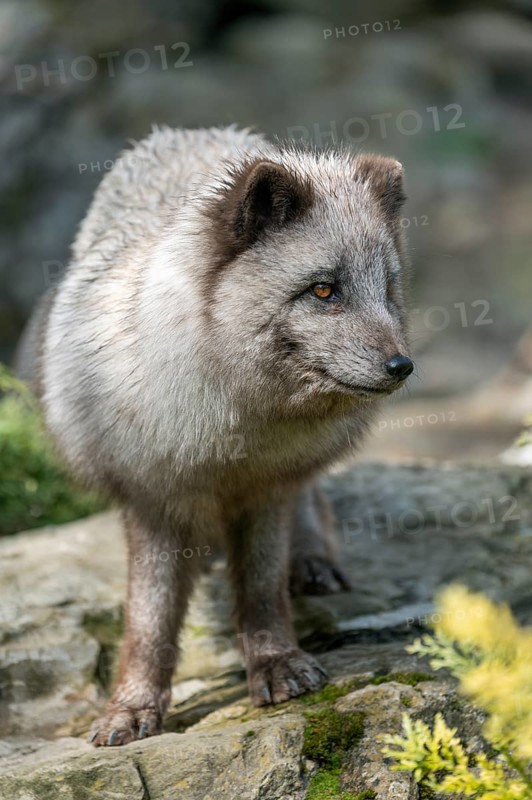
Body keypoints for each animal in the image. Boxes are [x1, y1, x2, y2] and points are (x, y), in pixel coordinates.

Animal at [17, 126, 413, 746]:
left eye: (387, 289)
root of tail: (188, 133)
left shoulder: (267, 489)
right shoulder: (150, 501)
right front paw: (131, 707)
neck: (232, 432)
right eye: (324, 291)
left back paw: (312, 560)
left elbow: (262, 590)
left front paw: (276, 664)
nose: (403, 366)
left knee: (311, 499)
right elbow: (148, 620)